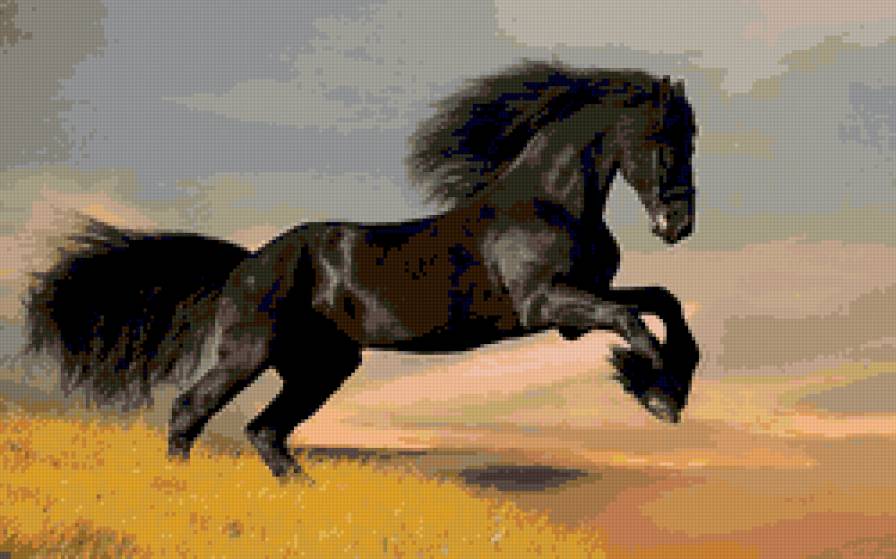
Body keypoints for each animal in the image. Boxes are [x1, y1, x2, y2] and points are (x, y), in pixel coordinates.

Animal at [24, 61, 700, 479]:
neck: (550, 200)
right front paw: (656, 392)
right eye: (665, 137)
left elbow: (663, 301)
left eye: (692, 136)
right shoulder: (549, 305)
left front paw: (663, 384)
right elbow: (633, 320)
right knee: (191, 411)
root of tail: (247, 264)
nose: (679, 225)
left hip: (322, 366)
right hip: (250, 354)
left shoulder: (579, 304)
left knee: (265, 432)